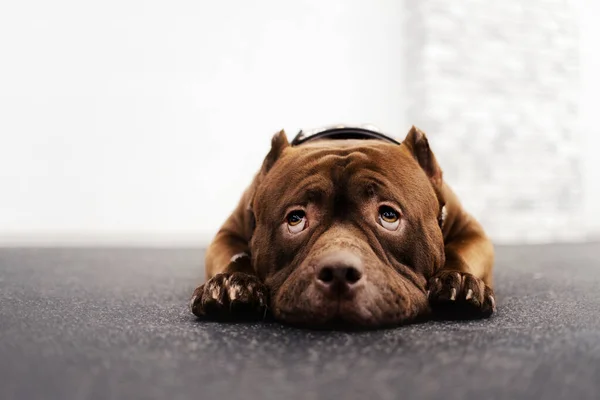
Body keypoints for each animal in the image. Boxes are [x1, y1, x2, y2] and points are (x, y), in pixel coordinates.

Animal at [190, 126, 494, 328]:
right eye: (296, 219)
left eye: (388, 215)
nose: (338, 271)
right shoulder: (227, 234)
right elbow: (235, 254)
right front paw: (232, 283)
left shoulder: (471, 232)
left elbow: (458, 251)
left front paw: (458, 280)